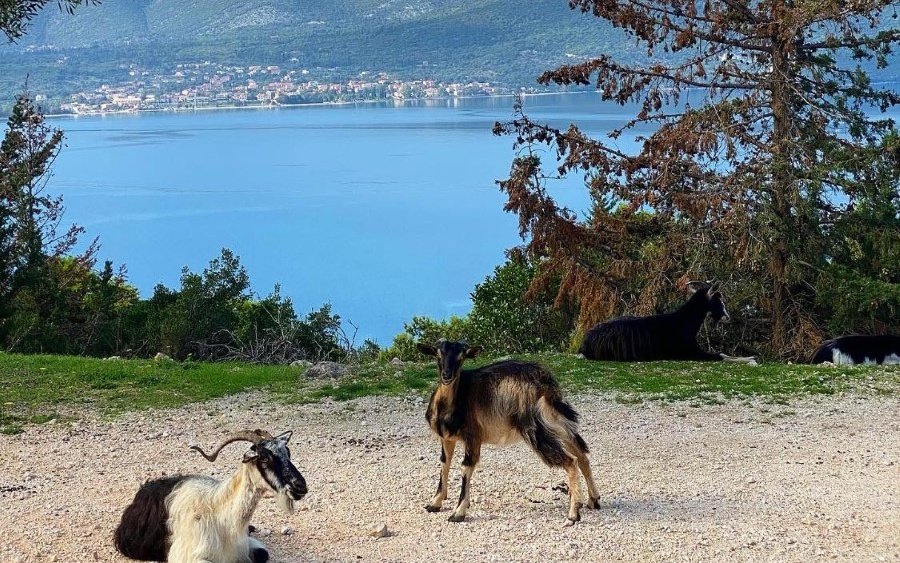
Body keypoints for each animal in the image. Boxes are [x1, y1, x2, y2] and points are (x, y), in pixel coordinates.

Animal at [113, 430, 306, 560]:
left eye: (288, 453)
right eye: (264, 458)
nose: (301, 487)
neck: (220, 515)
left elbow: (263, 555)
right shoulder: (186, 555)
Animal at [580, 280, 756, 364]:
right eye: (717, 301)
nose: (727, 317)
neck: (682, 322)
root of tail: (585, 341)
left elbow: (724, 354)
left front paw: (751, 357)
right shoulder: (690, 353)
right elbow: (721, 356)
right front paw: (751, 360)